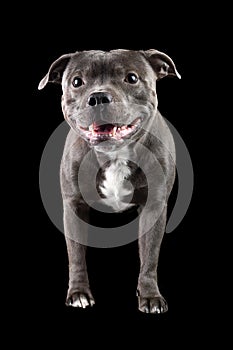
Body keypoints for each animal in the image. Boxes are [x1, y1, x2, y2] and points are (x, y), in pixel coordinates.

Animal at [38, 47, 180, 314]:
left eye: (132, 78)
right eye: (77, 82)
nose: (98, 97)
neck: (114, 154)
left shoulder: (154, 208)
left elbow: (150, 257)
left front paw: (150, 296)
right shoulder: (74, 207)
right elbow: (76, 255)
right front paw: (78, 293)